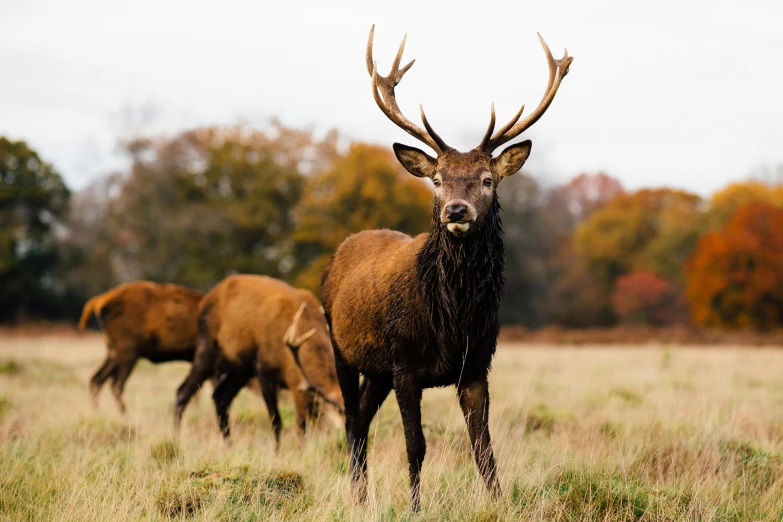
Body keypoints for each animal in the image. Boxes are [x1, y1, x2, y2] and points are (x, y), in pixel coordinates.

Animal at [322, 26, 572, 510]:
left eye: (487, 180)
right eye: (436, 179)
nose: (455, 210)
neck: (452, 319)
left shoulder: (476, 365)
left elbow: (484, 447)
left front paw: (499, 504)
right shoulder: (405, 364)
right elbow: (415, 444)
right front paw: (415, 508)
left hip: (376, 370)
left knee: (360, 419)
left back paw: (361, 496)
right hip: (340, 347)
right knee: (350, 420)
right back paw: (358, 497)